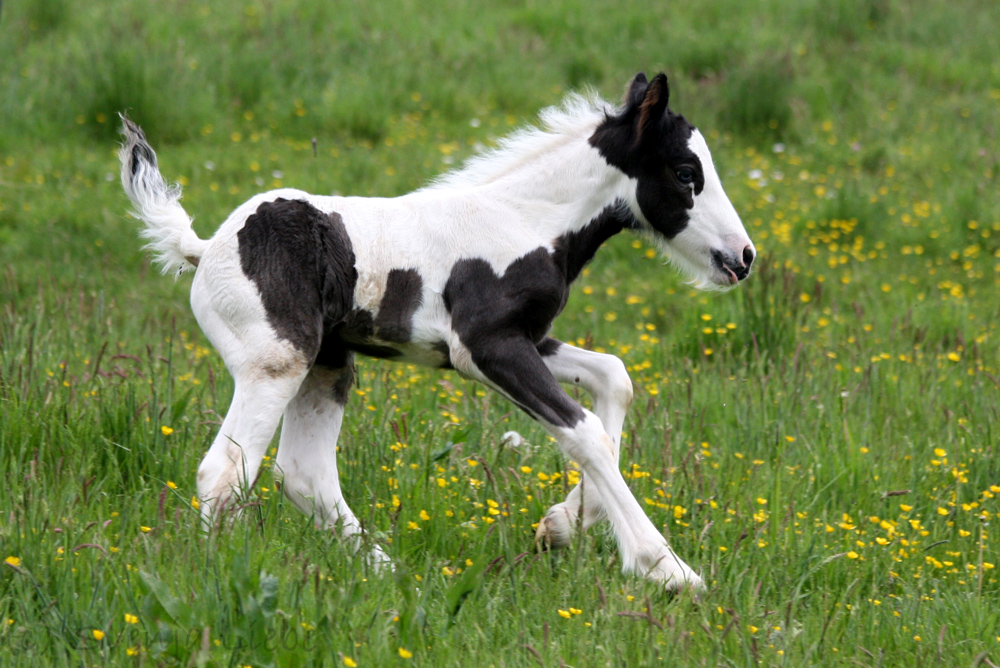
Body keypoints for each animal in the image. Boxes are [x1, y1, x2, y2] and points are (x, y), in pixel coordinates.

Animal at [121, 73, 752, 588]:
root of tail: (205, 248)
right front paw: (666, 569)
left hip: (327, 364)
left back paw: (389, 575)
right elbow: (585, 431)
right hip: (277, 361)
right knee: (225, 471)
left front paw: (562, 524)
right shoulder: (485, 348)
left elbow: (614, 378)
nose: (743, 257)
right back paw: (215, 580)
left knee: (302, 474)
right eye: (685, 173)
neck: (527, 221)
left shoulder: (524, 339)